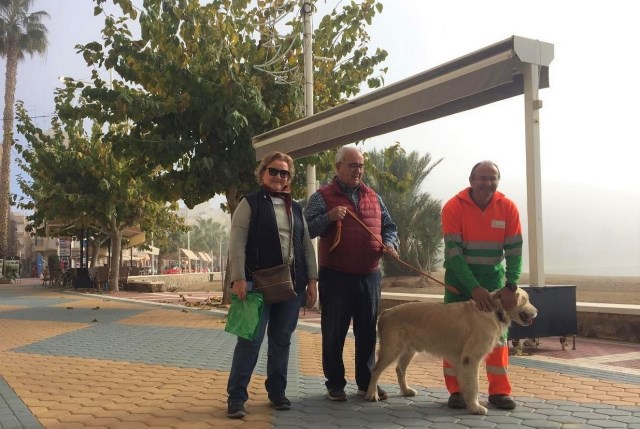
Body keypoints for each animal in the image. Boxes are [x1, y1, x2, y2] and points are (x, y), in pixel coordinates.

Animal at [368, 290, 536, 412]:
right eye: (526, 299)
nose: (537, 312)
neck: (495, 310)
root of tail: (386, 312)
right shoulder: (471, 358)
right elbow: (474, 385)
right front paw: (475, 407)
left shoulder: (464, 360)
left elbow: (467, 384)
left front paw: (469, 403)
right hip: (391, 349)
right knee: (375, 370)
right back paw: (371, 394)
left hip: (409, 350)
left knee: (399, 369)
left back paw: (406, 390)